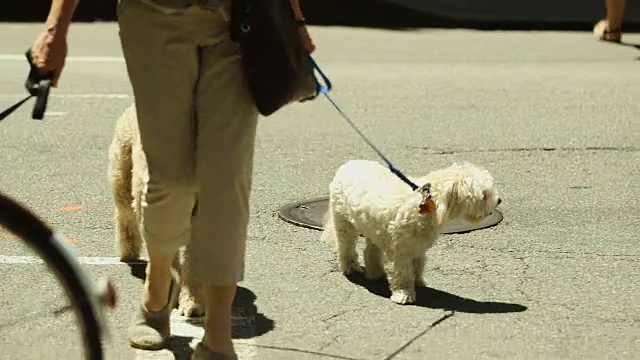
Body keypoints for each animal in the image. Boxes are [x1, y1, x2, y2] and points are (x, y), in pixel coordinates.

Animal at [322, 160, 502, 304]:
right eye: (485, 194)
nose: (499, 200)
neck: (429, 203)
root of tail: (348, 164)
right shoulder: (399, 250)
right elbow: (401, 273)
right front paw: (403, 294)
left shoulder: (417, 247)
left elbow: (418, 266)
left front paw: (418, 282)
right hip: (344, 223)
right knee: (345, 246)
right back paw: (349, 267)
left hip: (373, 227)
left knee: (370, 251)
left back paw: (374, 273)